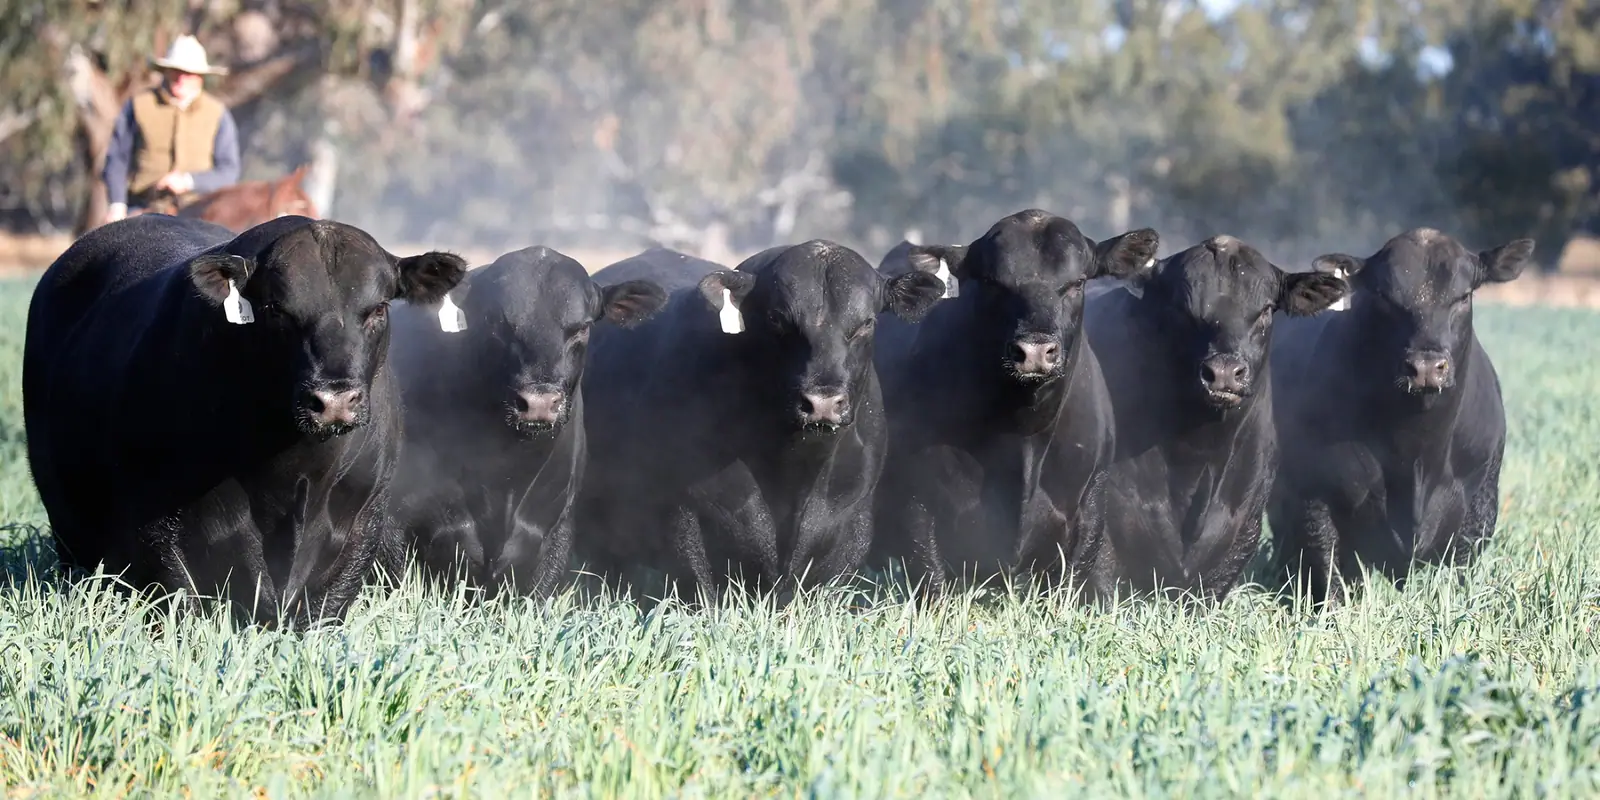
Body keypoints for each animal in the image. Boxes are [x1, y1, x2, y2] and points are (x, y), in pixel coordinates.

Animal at [22, 213, 466, 626]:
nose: (334, 399)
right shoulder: (159, 525)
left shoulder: (363, 517)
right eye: (276, 309)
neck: (295, 475)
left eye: (377, 308)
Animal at [870, 209, 1161, 600]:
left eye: (1077, 282)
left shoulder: (1089, 511)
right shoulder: (918, 508)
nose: (1035, 351)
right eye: (994, 283)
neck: (1023, 438)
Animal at [1267, 227, 1534, 607]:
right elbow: (1326, 566)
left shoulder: (1480, 501)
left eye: (1463, 295)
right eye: (1383, 295)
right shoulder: (1314, 493)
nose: (1425, 366)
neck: (1417, 450)